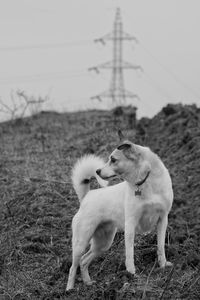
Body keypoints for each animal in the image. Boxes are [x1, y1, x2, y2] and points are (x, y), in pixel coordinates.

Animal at [66, 141, 173, 290]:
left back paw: (88, 282)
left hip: (103, 243)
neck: (145, 182)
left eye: (113, 159)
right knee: (73, 267)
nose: (97, 171)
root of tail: (86, 196)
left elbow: (161, 246)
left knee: (84, 261)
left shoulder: (163, 220)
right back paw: (69, 289)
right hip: (80, 242)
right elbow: (129, 253)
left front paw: (163, 267)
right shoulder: (131, 224)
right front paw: (131, 274)